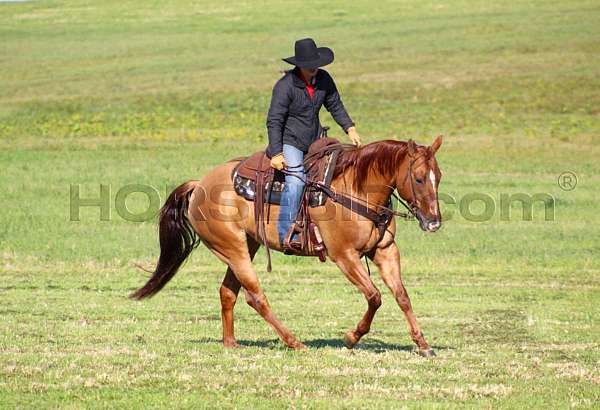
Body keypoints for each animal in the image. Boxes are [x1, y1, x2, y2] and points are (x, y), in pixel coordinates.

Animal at [131, 137, 440, 356]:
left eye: (439, 176)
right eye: (419, 178)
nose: (434, 222)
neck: (356, 188)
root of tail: (199, 184)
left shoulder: (385, 251)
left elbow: (402, 296)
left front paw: (422, 344)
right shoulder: (344, 256)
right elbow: (375, 296)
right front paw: (351, 337)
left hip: (247, 245)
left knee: (228, 292)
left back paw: (231, 342)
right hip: (233, 249)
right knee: (255, 297)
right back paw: (294, 342)